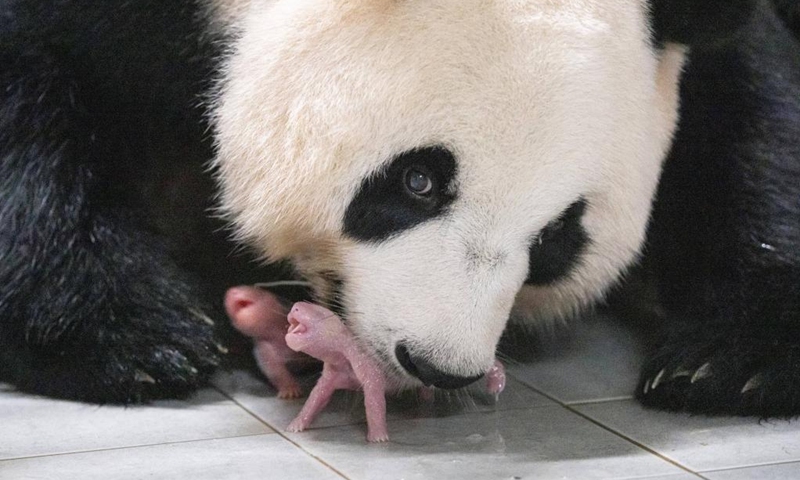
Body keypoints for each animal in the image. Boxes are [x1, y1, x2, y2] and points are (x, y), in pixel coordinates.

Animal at [1, 0, 800, 416]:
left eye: (557, 237)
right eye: (418, 182)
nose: (439, 365)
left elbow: (751, 119)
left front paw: (729, 361)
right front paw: (132, 339)